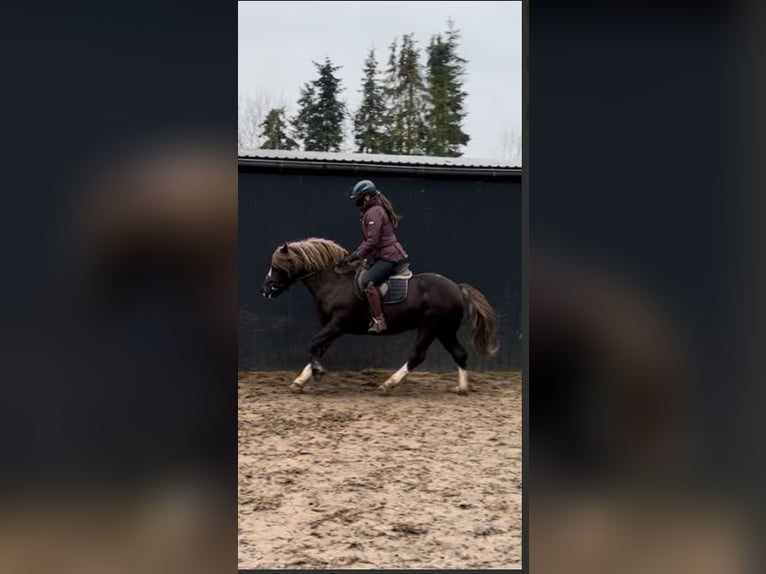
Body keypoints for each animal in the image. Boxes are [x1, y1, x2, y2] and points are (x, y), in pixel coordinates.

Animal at [260, 238, 500, 396]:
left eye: (276, 266)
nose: (265, 290)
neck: (334, 283)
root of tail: (457, 288)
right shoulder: (330, 327)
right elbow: (318, 348)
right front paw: (300, 381)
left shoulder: (338, 324)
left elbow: (313, 344)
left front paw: (316, 373)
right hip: (444, 330)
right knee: (459, 354)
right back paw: (462, 388)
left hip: (430, 327)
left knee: (417, 356)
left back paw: (388, 384)